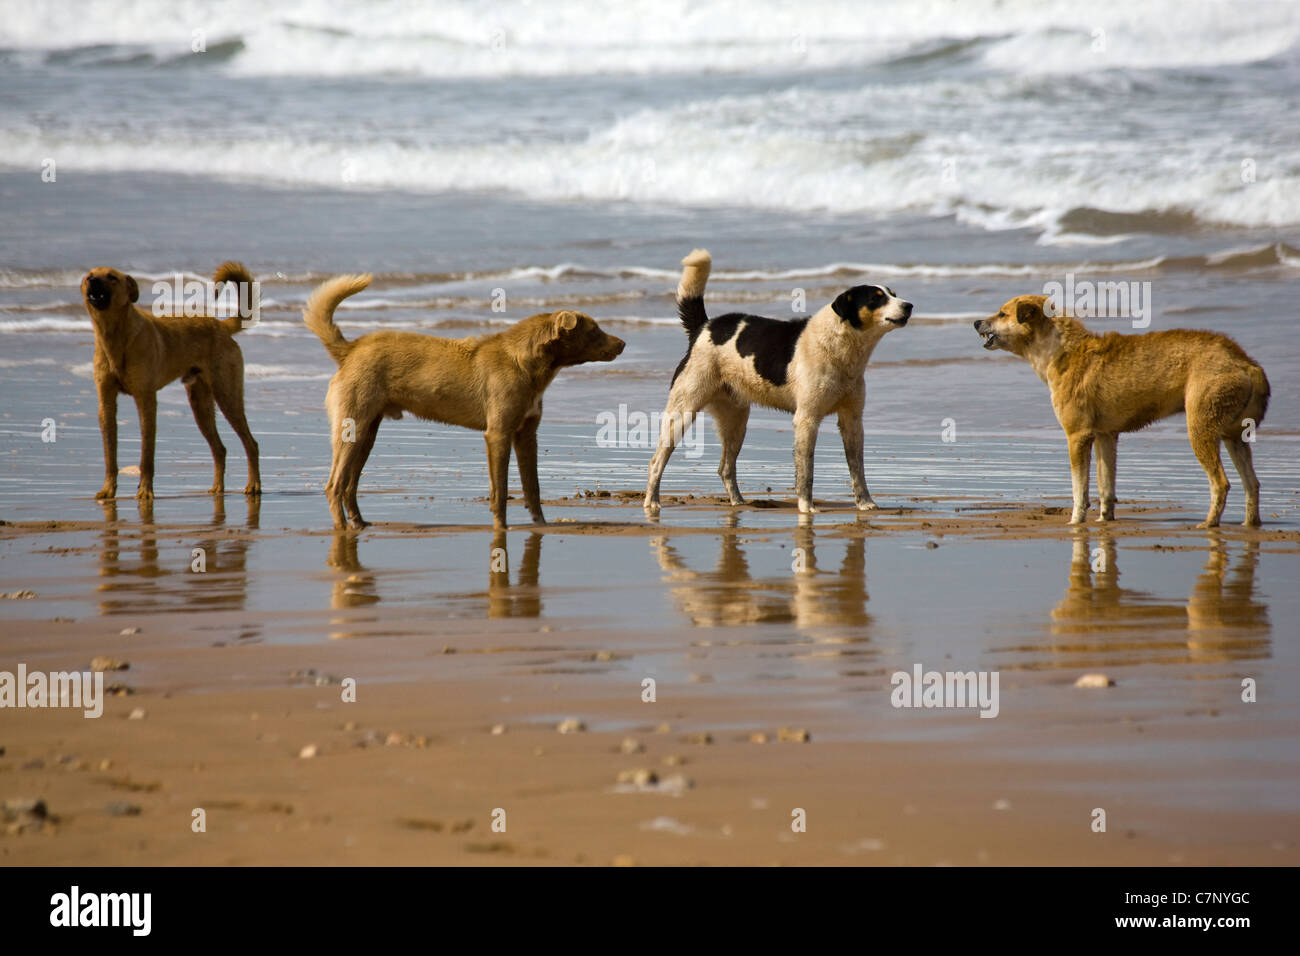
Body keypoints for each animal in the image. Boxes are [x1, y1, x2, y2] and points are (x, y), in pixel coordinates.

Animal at [81, 261, 261, 502]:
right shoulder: (106, 404)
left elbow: (147, 456)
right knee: (220, 449)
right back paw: (217, 489)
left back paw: (253, 485)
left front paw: (145, 491)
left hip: (227, 396)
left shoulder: (146, 400)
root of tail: (220, 326)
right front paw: (108, 490)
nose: (93, 281)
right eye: (90, 276)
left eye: (111, 277)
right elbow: (110, 457)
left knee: (251, 444)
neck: (116, 337)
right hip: (200, 406)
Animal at [306, 274, 626, 530]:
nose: (623, 343)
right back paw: (343, 530)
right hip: (352, 428)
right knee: (334, 485)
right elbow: (500, 491)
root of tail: (350, 350)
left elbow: (532, 488)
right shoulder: (498, 434)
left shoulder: (526, 435)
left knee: (349, 485)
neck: (524, 364)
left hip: (367, 433)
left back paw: (359, 524)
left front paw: (541, 525)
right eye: (594, 330)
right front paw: (501, 528)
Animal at [642, 248, 909, 515]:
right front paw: (806, 507)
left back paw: (738, 503)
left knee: (725, 467)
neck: (839, 347)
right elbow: (806, 471)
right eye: (876, 299)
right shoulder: (806, 419)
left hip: (735, 420)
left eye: (893, 294)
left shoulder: (852, 419)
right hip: (682, 411)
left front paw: (865, 503)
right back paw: (652, 502)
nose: (909, 306)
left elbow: (857, 469)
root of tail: (703, 327)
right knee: (656, 461)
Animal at [977, 295, 1268, 528]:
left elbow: (1079, 489)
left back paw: (1208, 524)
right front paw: (1104, 521)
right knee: (1252, 483)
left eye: (1002, 314)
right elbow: (1106, 486)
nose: (976, 322)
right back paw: (1249, 525)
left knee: (1221, 483)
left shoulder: (1077, 436)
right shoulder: (1105, 435)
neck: (1058, 350)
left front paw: (1075, 522)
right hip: (1234, 435)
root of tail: (1246, 363)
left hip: (1201, 427)